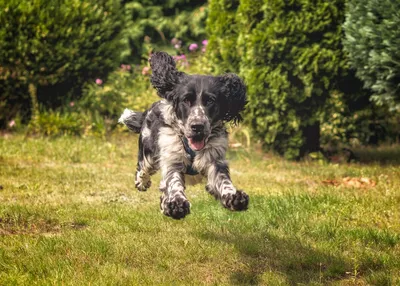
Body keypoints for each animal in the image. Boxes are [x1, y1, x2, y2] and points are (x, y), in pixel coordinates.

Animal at [119, 51, 248, 219]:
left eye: (210, 101)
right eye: (186, 100)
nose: (197, 126)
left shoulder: (214, 159)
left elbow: (223, 180)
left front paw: (234, 197)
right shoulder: (172, 159)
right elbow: (173, 182)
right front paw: (176, 204)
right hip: (148, 152)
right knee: (143, 168)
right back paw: (143, 182)